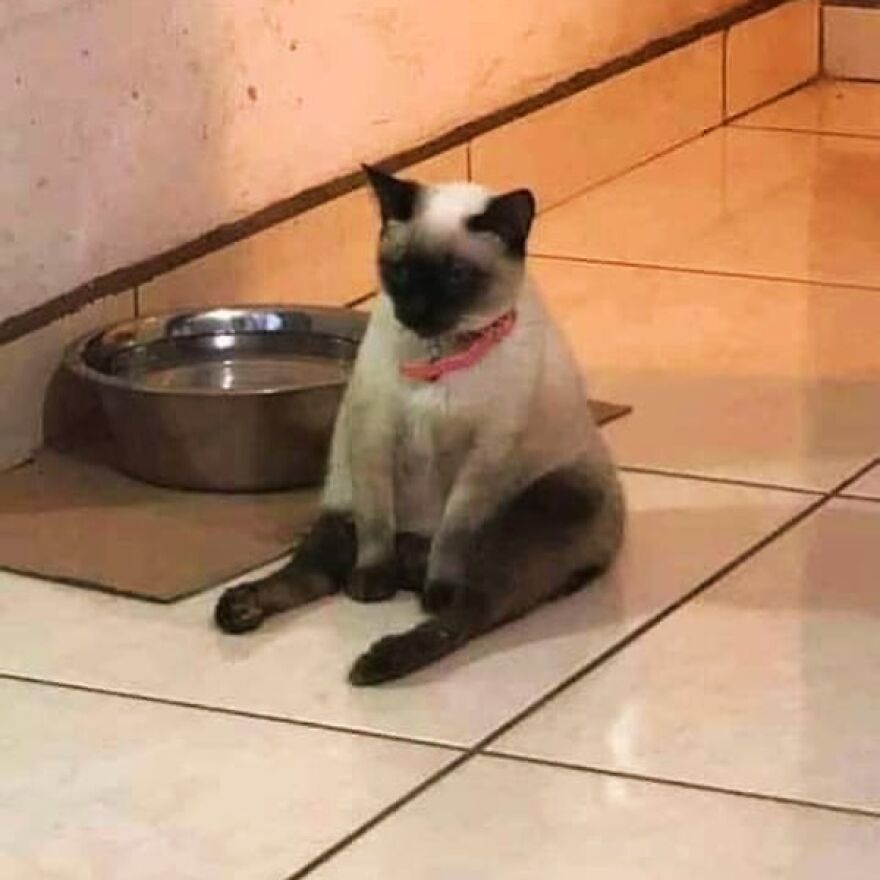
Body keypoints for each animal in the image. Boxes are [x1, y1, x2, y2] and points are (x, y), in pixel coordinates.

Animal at [213, 165, 624, 688]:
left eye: (456, 276)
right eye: (402, 271)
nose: (416, 310)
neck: (437, 355)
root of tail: (413, 556)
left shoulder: (484, 456)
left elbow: (453, 534)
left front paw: (433, 588)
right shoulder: (373, 435)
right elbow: (375, 528)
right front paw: (370, 586)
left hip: (543, 509)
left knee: (462, 615)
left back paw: (381, 656)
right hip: (340, 507)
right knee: (310, 575)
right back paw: (244, 606)